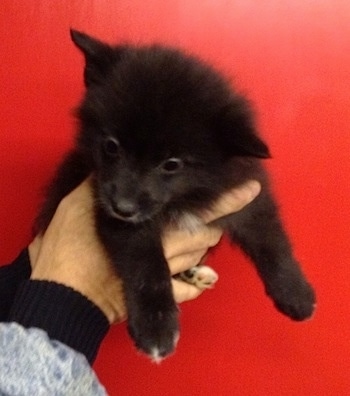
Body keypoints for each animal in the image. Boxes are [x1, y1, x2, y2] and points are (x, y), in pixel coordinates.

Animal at [34, 31, 316, 362]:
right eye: (111, 146)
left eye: (171, 164)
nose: (122, 207)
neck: (184, 199)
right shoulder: (110, 210)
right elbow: (146, 263)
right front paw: (156, 326)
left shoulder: (247, 194)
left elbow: (271, 240)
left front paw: (295, 293)